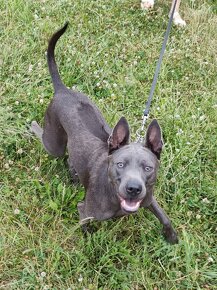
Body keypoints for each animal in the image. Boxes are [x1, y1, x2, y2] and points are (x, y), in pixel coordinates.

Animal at [31, 22, 178, 244]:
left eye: (148, 168)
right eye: (120, 165)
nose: (133, 189)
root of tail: (62, 90)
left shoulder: (149, 198)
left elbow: (164, 216)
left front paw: (172, 236)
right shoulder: (85, 210)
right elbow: (84, 226)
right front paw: (88, 242)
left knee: (70, 158)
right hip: (53, 143)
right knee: (41, 134)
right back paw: (29, 128)